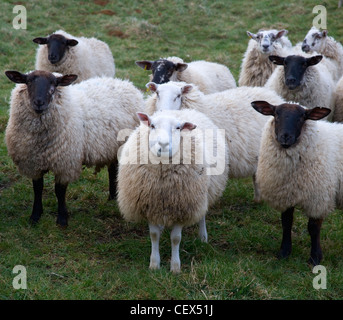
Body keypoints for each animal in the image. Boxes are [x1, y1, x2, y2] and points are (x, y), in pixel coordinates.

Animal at [4, 69, 144, 228]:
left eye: (54, 84)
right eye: (28, 82)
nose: (39, 102)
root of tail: (124, 82)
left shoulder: (65, 163)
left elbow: (59, 191)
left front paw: (62, 219)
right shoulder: (32, 163)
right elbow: (38, 188)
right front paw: (35, 216)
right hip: (111, 147)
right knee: (112, 169)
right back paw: (112, 197)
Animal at [117, 109, 230, 272]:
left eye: (178, 127)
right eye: (152, 125)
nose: (163, 144)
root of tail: (184, 110)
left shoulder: (182, 207)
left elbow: (176, 239)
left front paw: (175, 267)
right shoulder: (149, 206)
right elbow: (154, 235)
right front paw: (154, 264)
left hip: (201, 194)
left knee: (202, 215)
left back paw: (203, 237)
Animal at [253, 101, 343, 266]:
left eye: (302, 117)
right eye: (276, 114)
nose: (285, 137)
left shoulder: (318, 198)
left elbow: (313, 228)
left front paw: (315, 258)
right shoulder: (286, 193)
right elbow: (286, 222)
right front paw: (284, 252)